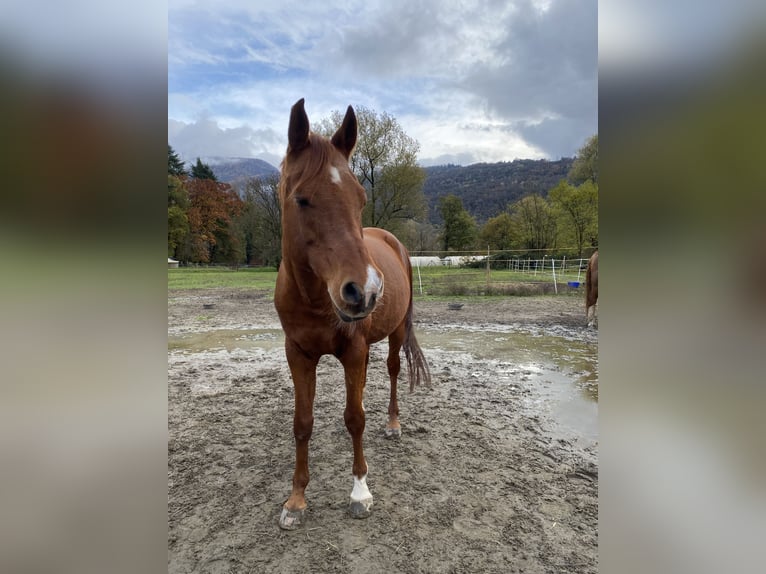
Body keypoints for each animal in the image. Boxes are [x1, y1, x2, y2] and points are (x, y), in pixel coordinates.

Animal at [273, 98, 431, 530]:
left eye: (360, 198)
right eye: (301, 199)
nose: (366, 290)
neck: (314, 299)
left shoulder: (353, 351)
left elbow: (356, 417)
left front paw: (360, 491)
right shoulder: (298, 354)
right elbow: (302, 423)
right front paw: (296, 500)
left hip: (394, 334)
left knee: (393, 371)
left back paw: (393, 424)